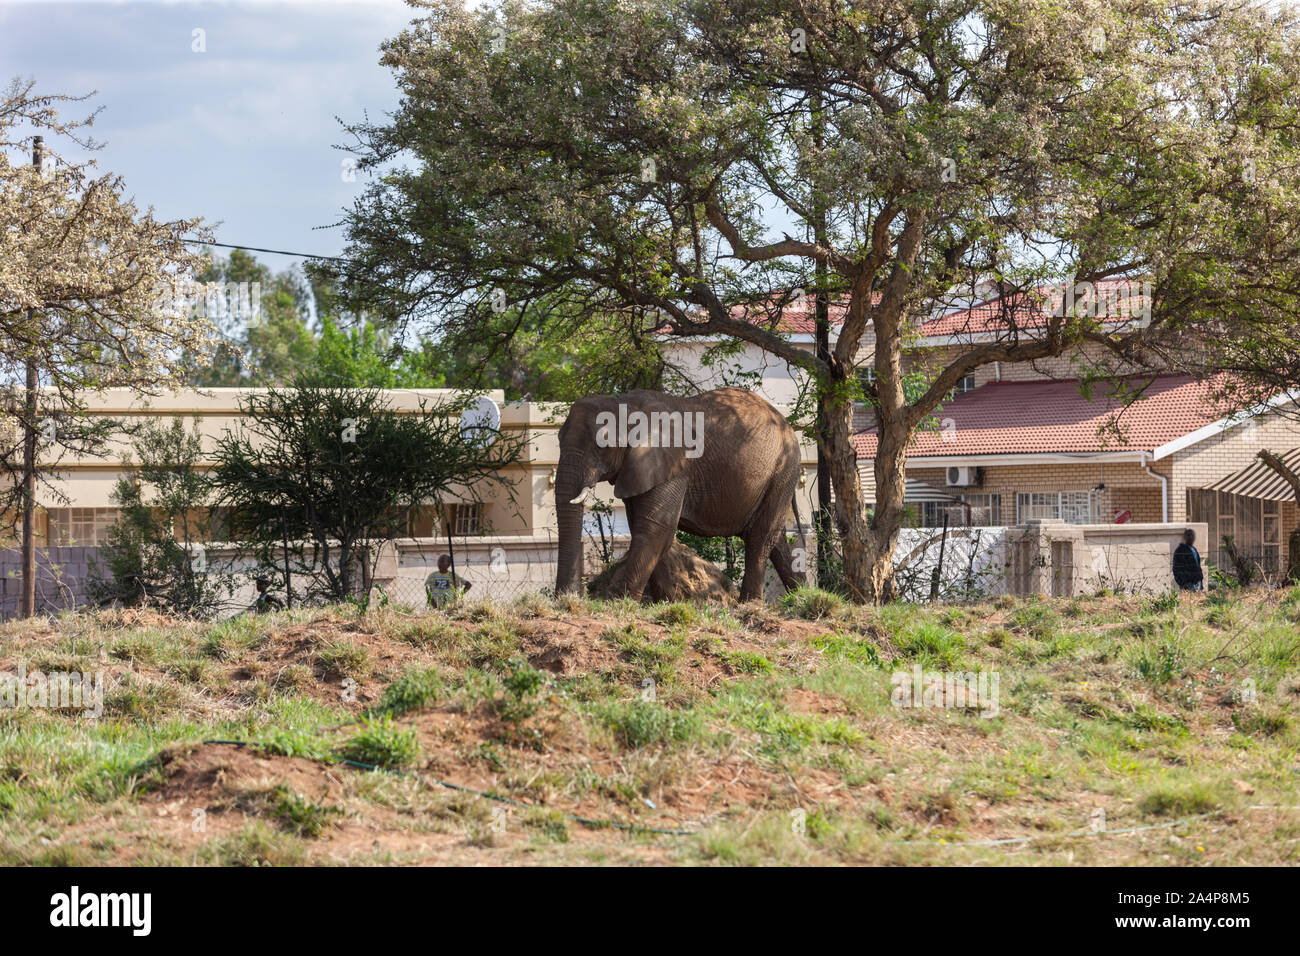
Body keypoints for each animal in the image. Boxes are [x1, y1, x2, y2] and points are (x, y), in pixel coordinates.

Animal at [556, 387, 806, 598]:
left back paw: (750, 604)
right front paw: (666, 601)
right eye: (558, 439)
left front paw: (617, 600)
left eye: (602, 445)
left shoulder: (672, 465)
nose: (567, 598)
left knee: (760, 538)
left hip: (783, 470)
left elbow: (656, 527)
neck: (624, 402)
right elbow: (642, 525)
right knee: (777, 540)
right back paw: (799, 599)